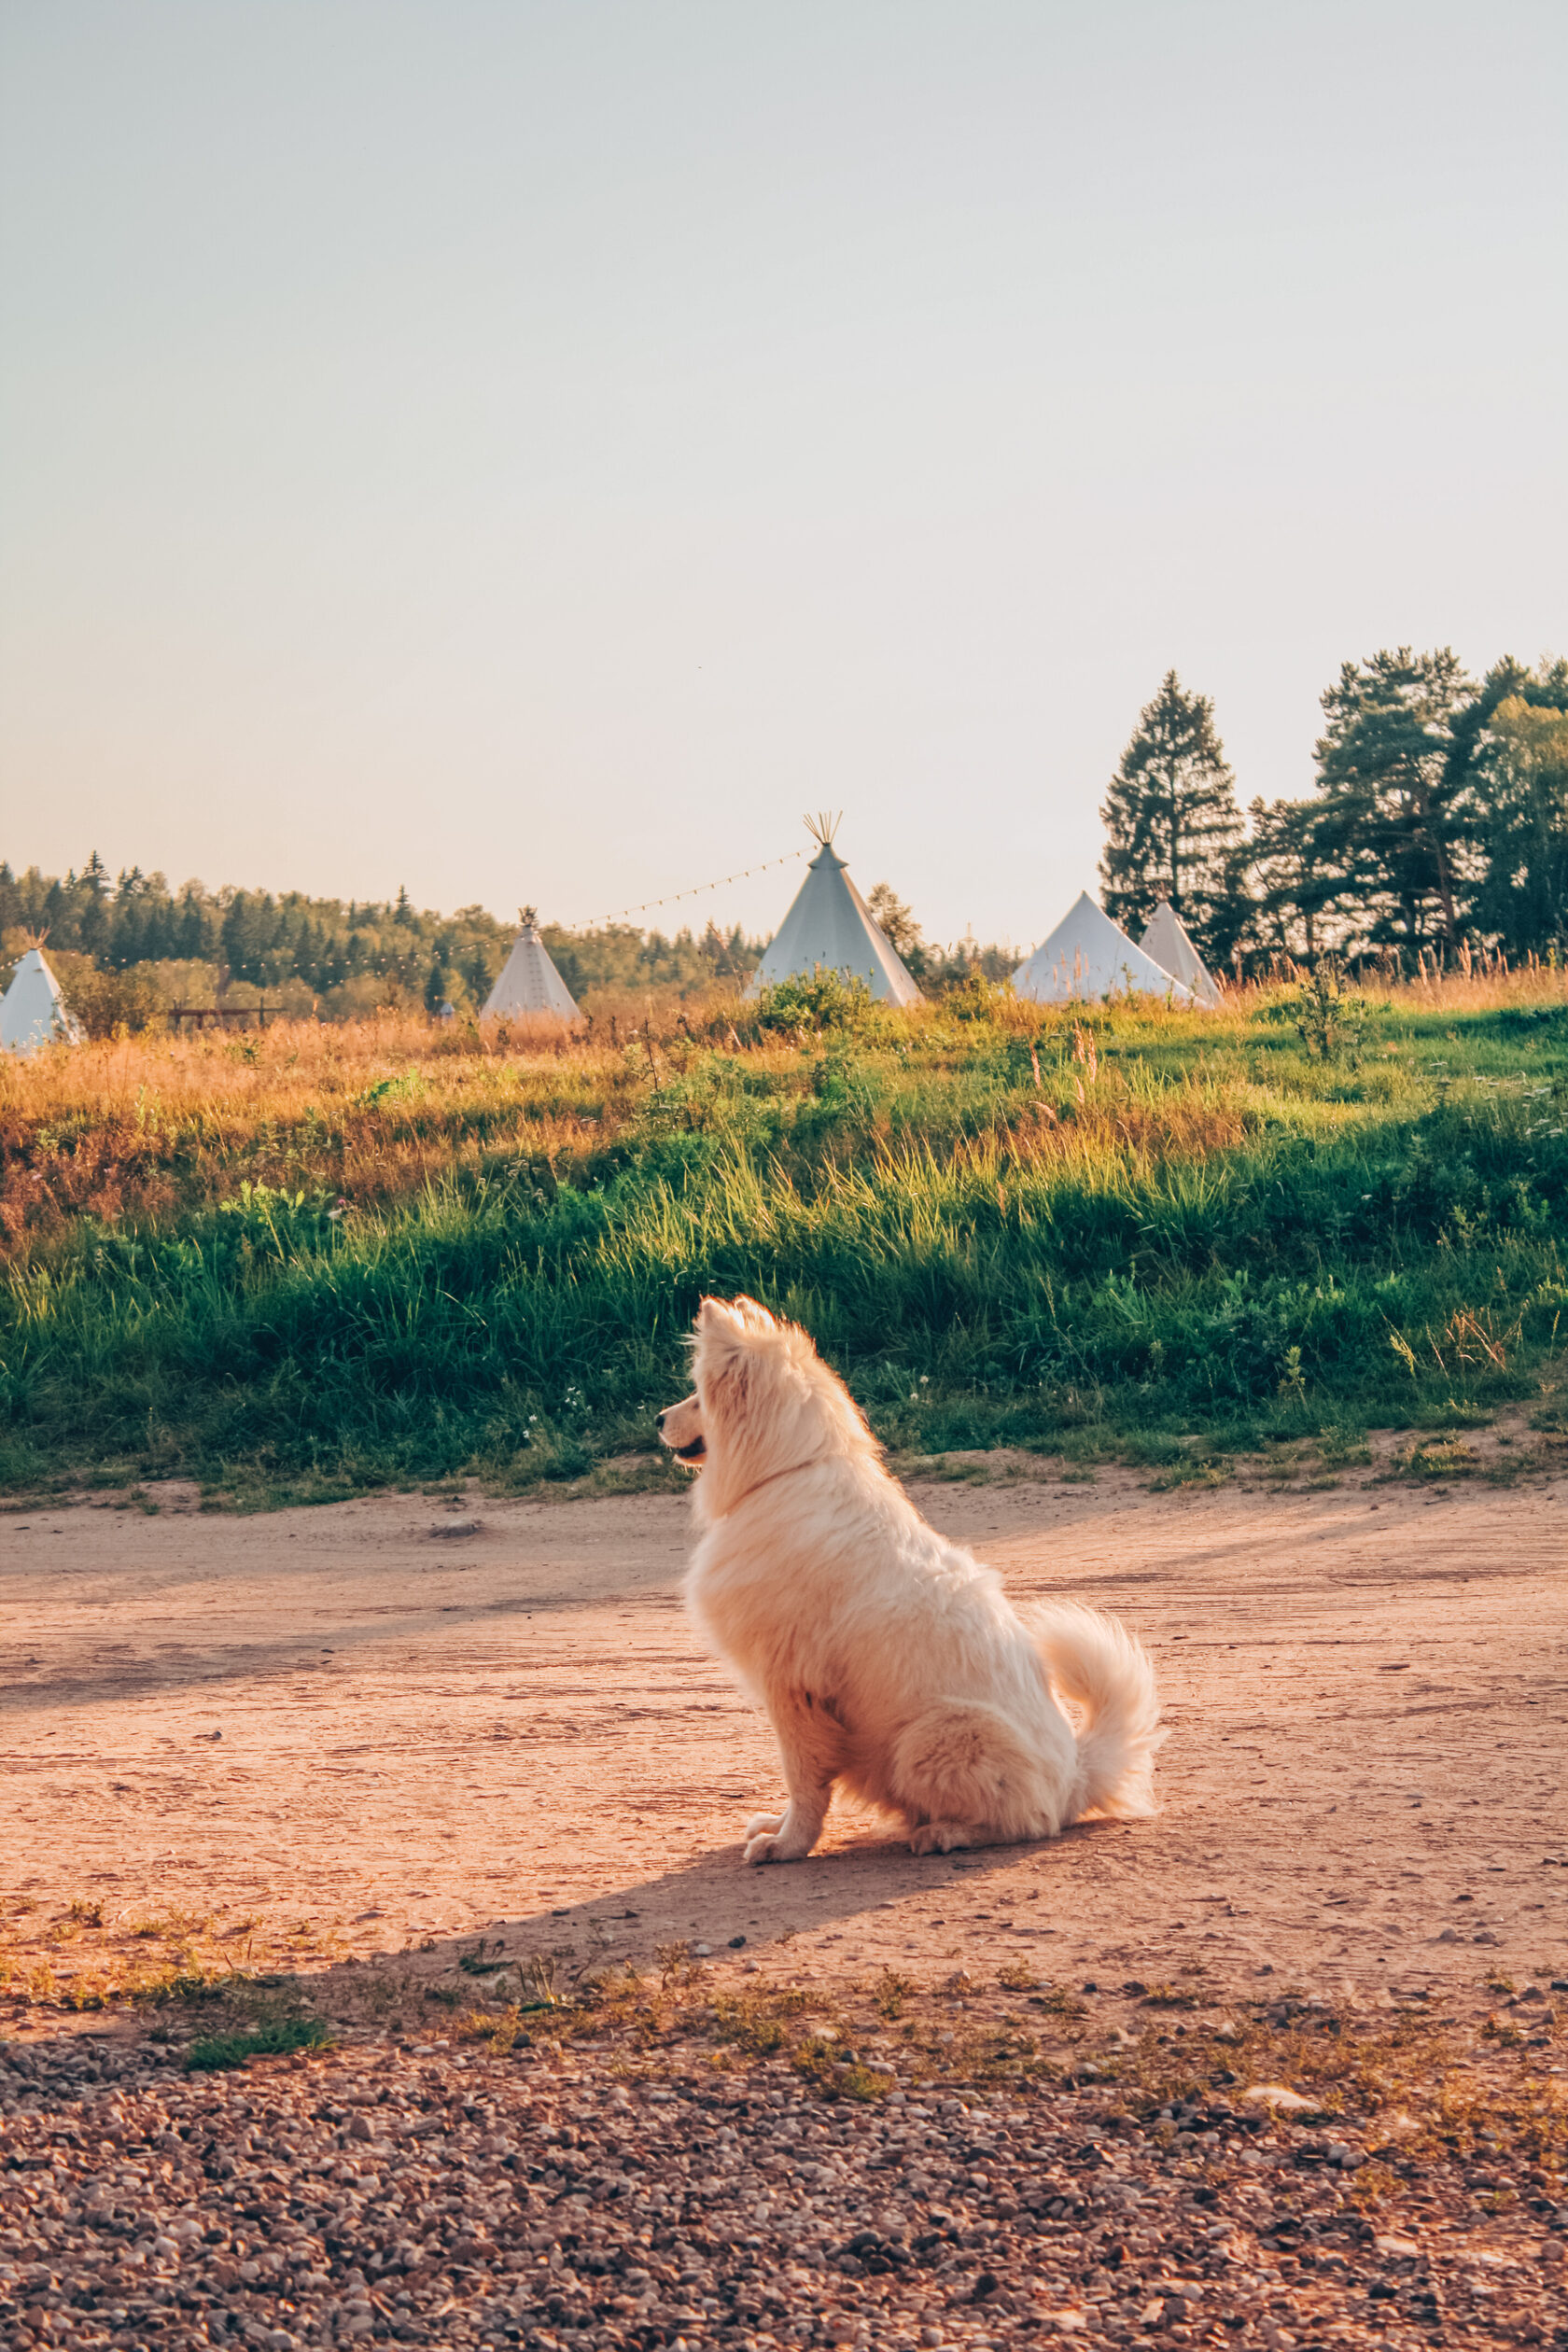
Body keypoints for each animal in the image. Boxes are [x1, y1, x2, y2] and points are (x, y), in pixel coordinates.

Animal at [658, 1298, 1161, 1862]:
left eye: (697, 1397)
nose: (657, 1420)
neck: (789, 1471)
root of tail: (1076, 1775)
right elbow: (801, 1783)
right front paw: (778, 1828)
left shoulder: (792, 1689)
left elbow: (804, 1780)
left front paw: (788, 1845)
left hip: (932, 1734)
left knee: (1030, 1823)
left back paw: (945, 1833)